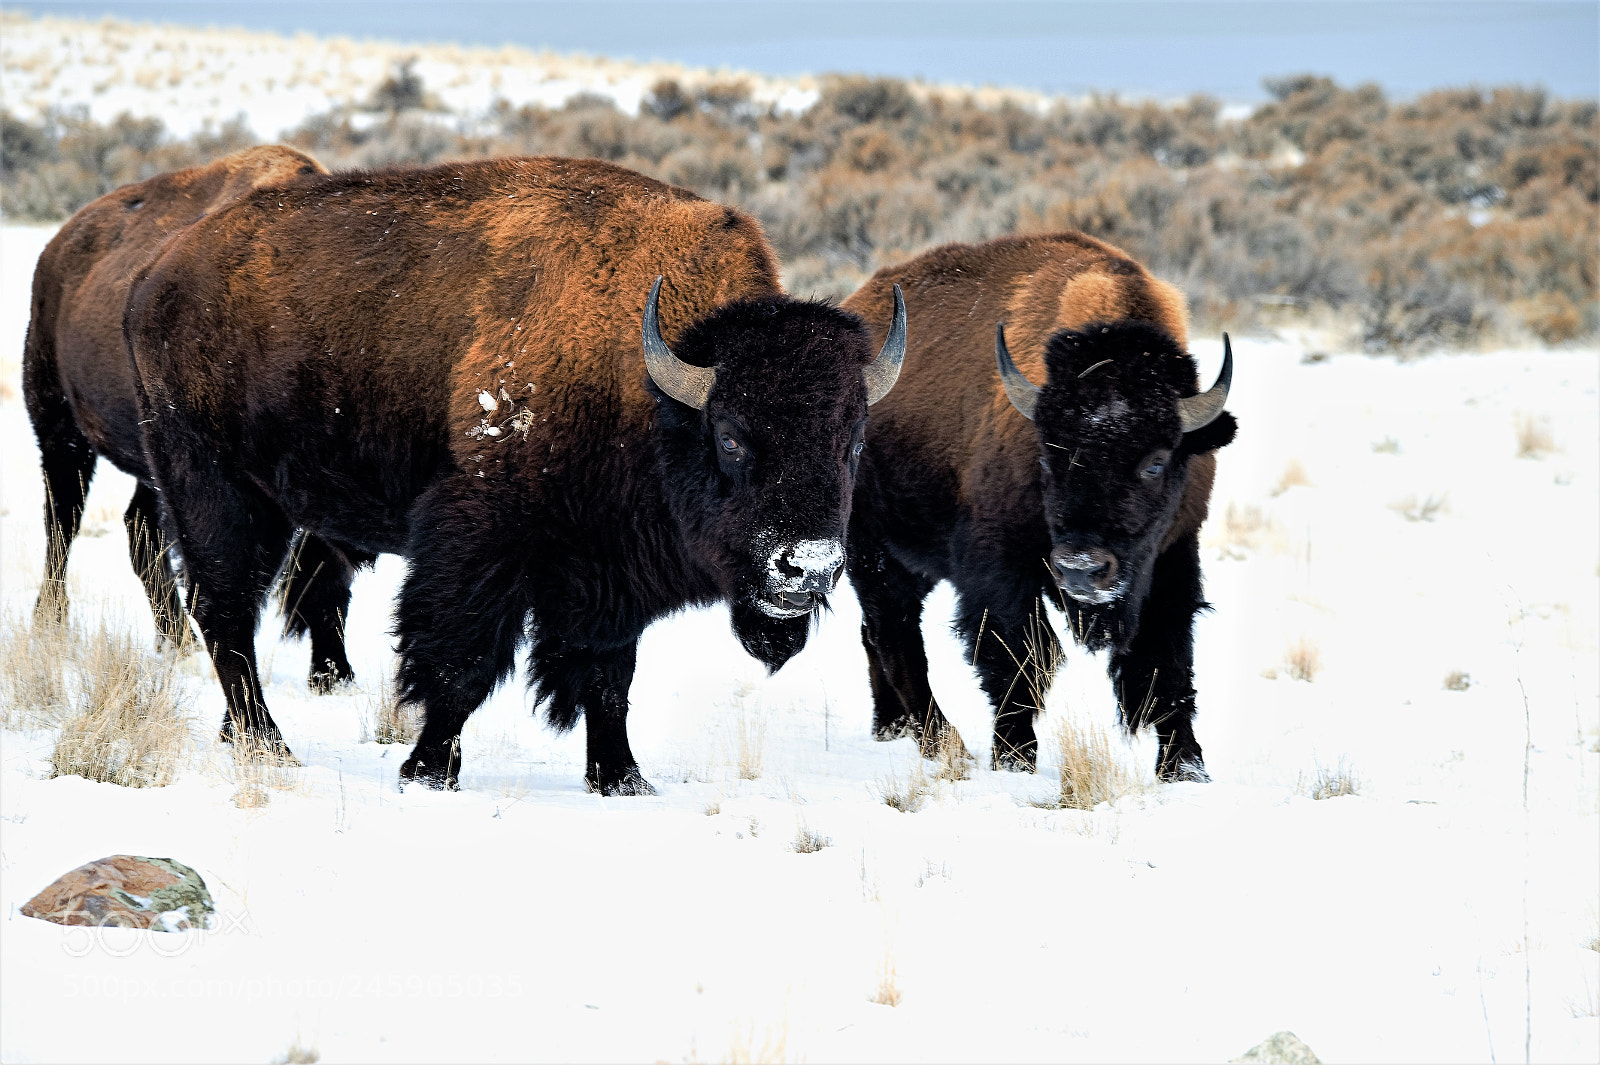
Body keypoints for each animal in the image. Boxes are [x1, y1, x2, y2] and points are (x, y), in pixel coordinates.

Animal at [23, 145, 366, 690]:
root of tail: (56, 249)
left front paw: (335, 674)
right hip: (60, 428)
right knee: (62, 521)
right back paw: (53, 622)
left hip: (151, 465)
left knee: (137, 529)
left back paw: (176, 640)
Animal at [123, 156, 905, 794]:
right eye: (733, 437)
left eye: (853, 441)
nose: (807, 566)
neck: (644, 377)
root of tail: (156, 275)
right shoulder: (480, 544)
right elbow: (460, 665)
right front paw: (428, 771)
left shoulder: (609, 573)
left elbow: (610, 679)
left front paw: (623, 780)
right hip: (211, 486)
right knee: (226, 611)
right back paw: (268, 746)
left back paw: (244, 736)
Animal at [841, 232, 1235, 780]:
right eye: (1048, 456)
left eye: (1156, 462)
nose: (1081, 569)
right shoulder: (1002, 569)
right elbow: (1019, 659)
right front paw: (1013, 758)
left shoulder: (1170, 558)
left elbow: (1166, 666)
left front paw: (1186, 768)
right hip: (871, 551)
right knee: (895, 638)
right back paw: (945, 744)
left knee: (876, 635)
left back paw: (891, 729)